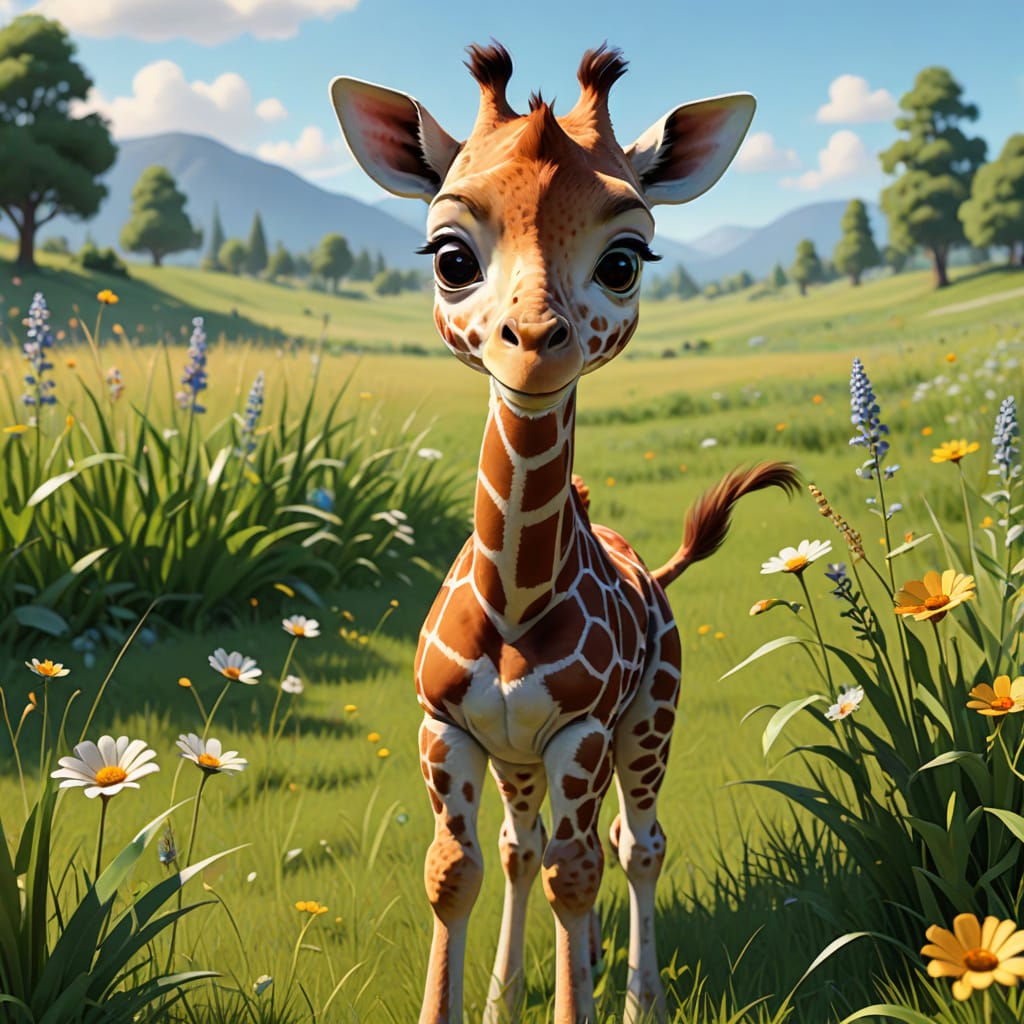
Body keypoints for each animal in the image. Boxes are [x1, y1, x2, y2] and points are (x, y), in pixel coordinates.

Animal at [330, 43, 799, 1024]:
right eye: (450, 256)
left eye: (625, 261)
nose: (535, 341)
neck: (512, 600)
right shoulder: (447, 729)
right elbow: (457, 870)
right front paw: (486, 998)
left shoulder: (580, 731)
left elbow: (577, 874)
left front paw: (589, 998)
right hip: (521, 758)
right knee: (525, 845)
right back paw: (511, 993)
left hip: (652, 720)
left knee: (633, 843)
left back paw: (640, 1000)